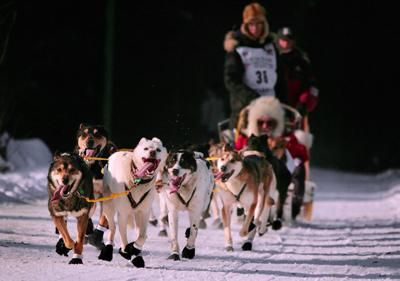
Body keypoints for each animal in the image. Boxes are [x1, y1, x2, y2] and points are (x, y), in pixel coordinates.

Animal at [101, 137, 169, 266]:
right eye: (146, 148)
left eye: (158, 149)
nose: (152, 152)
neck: (138, 180)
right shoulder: (122, 214)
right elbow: (123, 237)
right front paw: (125, 250)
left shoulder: (144, 212)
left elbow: (142, 236)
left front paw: (136, 248)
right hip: (108, 207)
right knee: (113, 228)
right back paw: (108, 250)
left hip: (137, 214)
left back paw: (137, 255)